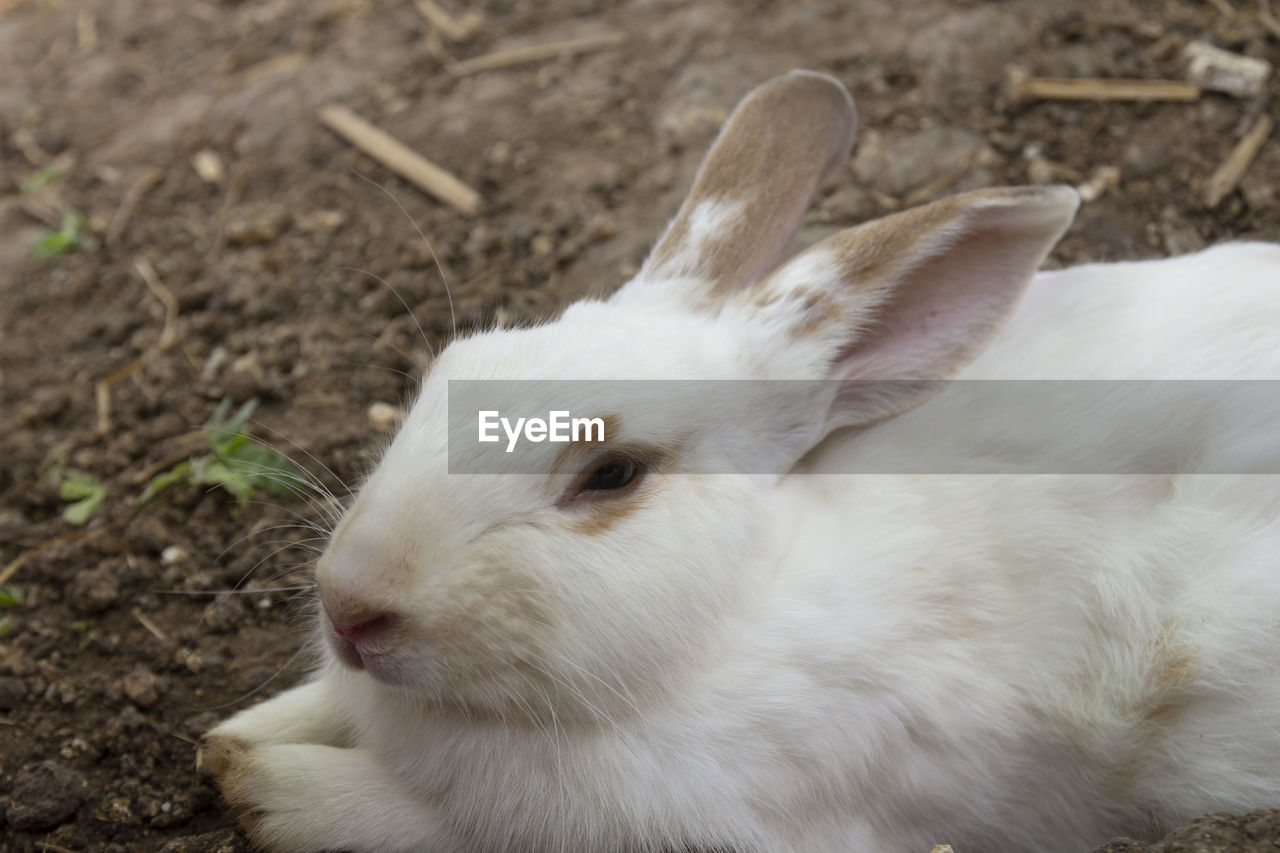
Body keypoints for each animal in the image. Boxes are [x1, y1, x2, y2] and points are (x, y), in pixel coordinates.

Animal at [199, 71, 1280, 850]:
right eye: (446, 373)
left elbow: (422, 823)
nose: (351, 607)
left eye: (612, 474)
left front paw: (261, 788)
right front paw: (232, 742)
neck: (725, 620)